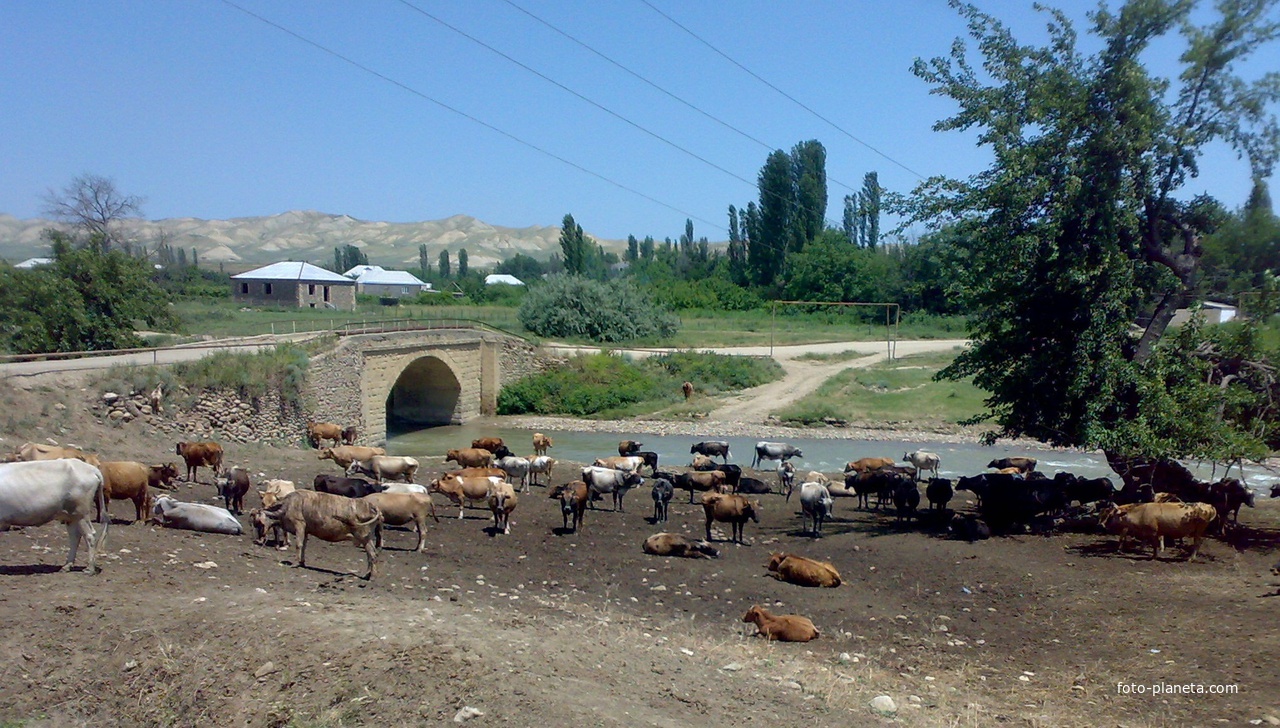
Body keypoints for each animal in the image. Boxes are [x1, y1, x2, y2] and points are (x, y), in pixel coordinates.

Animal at [252, 488, 381, 578]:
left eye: (259, 522)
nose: (259, 539)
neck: (288, 505)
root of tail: (372, 506)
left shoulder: (299, 525)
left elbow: (299, 545)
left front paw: (295, 563)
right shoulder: (306, 531)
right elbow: (304, 545)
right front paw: (302, 562)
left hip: (364, 537)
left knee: (372, 554)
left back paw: (372, 575)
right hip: (367, 538)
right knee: (371, 554)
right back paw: (368, 574)